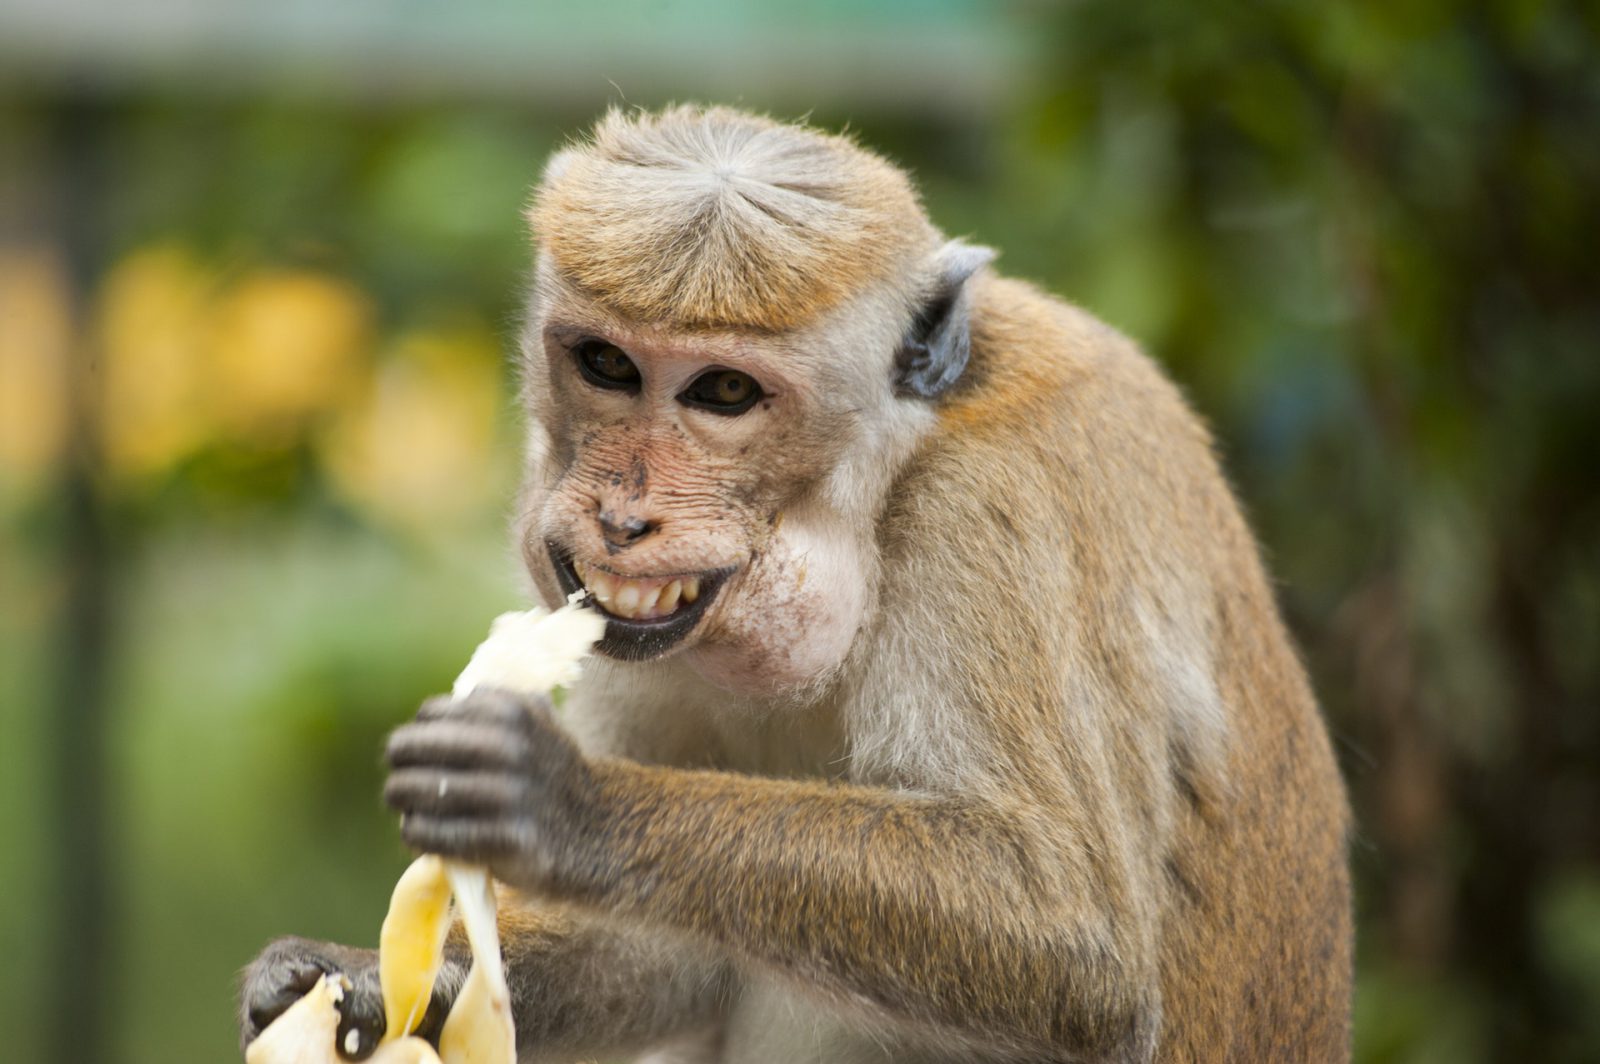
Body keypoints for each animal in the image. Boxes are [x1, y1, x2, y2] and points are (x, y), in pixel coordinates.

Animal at [243, 105, 1356, 1062]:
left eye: (725, 391)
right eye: (606, 364)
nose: (621, 519)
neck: (886, 477)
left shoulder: (986, 518)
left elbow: (1076, 937)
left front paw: (564, 802)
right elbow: (671, 951)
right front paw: (360, 979)